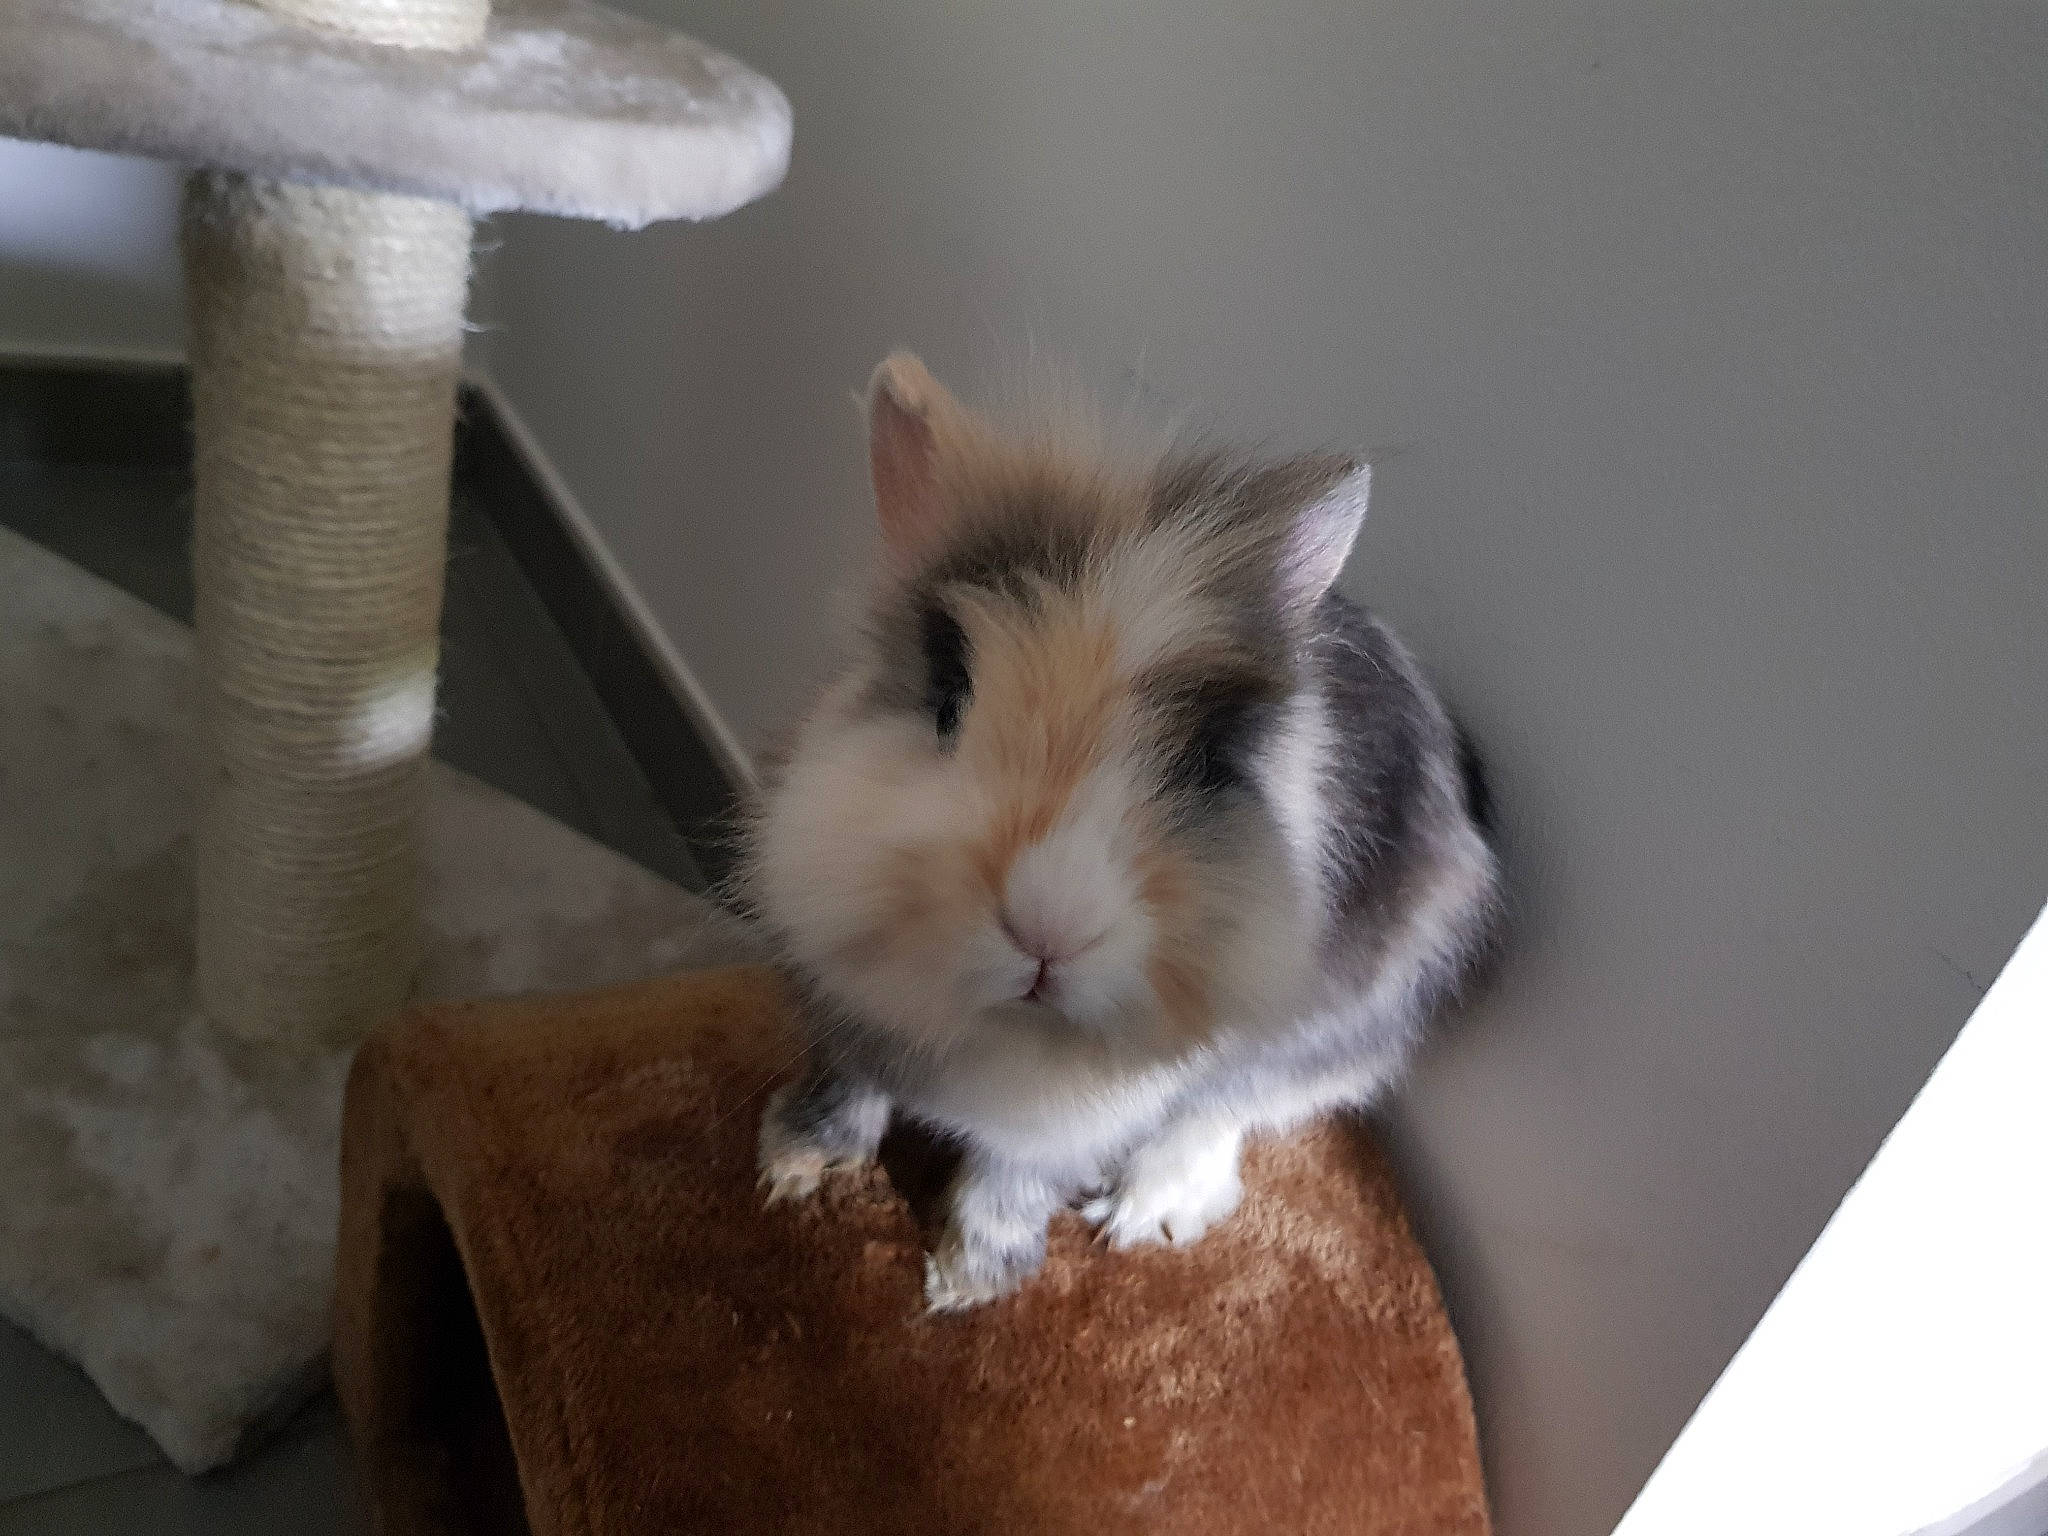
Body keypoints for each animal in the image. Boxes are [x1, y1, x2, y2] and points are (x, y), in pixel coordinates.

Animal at [743, 352, 1501, 1311]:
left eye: (1202, 766)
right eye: (948, 701)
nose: (1048, 929)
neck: (1001, 1030)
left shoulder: (1072, 1122)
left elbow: (1013, 1180)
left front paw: (966, 1282)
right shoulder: (843, 995)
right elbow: (846, 1079)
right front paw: (796, 1166)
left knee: (1233, 1108)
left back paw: (1150, 1209)